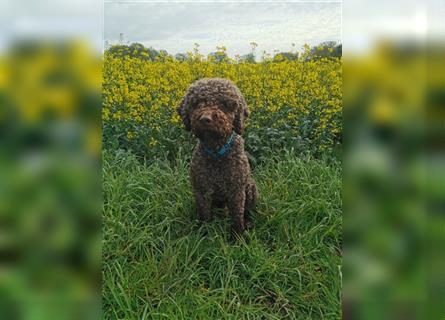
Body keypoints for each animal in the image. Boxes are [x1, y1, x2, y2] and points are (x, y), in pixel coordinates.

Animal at [177, 78, 258, 236]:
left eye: (225, 104)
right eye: (196, 103)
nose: (205, 119)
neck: (216, 152)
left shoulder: (236, 192)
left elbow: (237, 217)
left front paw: (237, 236)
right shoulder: (201, 191)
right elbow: (204, 215)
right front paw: (204, 233)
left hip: (251, 188)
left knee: (246, 211)